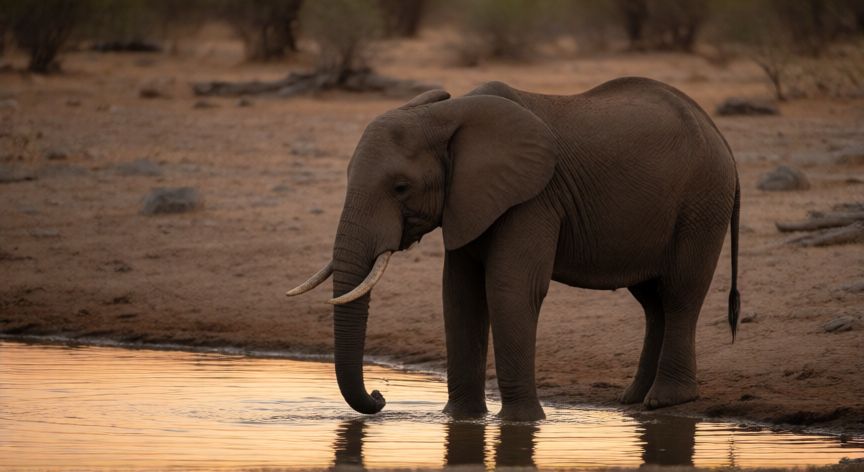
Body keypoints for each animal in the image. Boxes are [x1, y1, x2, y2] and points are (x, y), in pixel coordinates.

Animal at [287, 77, 741, 422]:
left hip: (702, 201)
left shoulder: (533, 198)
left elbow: (510, 289)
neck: (451, 115)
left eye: (400, 188)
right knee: (652, 301)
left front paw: (522, 422)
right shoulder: (469, 199)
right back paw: (634, 399)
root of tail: (717, 131)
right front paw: (461, 419)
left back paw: (666, 400)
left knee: (680, 293)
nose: (381, 398)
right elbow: (460, 294)